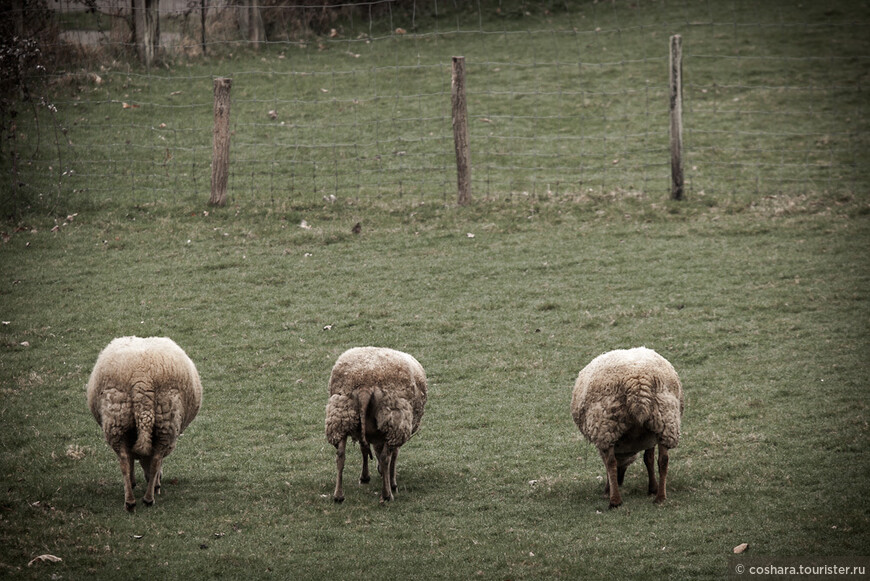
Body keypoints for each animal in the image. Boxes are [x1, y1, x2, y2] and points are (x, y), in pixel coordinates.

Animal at [88, 336, 204, 508]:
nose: (159, 482)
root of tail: (142, 379)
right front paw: (154, 483)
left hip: (117, 417)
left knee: (124, 460)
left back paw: (130, 501)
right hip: (165, 420)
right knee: (155, 459)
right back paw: (148, 498)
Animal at [326, 344, 428, 502]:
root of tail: (365, 385)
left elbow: (364, 449)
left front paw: (365, 477)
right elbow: (392, 454)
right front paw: (392, 482)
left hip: (340, 416)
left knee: (340, 455)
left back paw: (338, 495)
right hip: (393, 420)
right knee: (386, 457)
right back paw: (387, 495)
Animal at [572, 346, 688, 506]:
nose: (620, 481)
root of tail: (638, 383)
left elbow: (608, 464)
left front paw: (608, 489)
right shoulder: (649, 436)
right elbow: (649, 459)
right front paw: (653, 488)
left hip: (606, 427)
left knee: (611, 463)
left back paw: (615, 500)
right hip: (665, 420)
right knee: (663, 460)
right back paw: (660, 497)